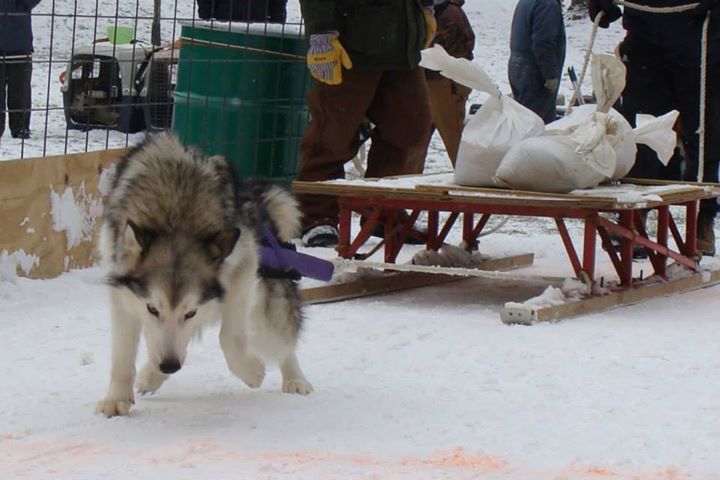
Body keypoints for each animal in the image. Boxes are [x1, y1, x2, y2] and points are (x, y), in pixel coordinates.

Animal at [95, 134, 312, 416]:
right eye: (152, 308)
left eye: (190, 312)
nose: (169, 366)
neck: (176, 212)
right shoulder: (122, 292)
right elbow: (123, 353)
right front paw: (117, 398)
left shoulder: (243, 266)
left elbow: (231, 337)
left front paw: (252, 372)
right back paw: (152, 374)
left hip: (265, 306)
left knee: (282, 340)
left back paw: (295, 379)